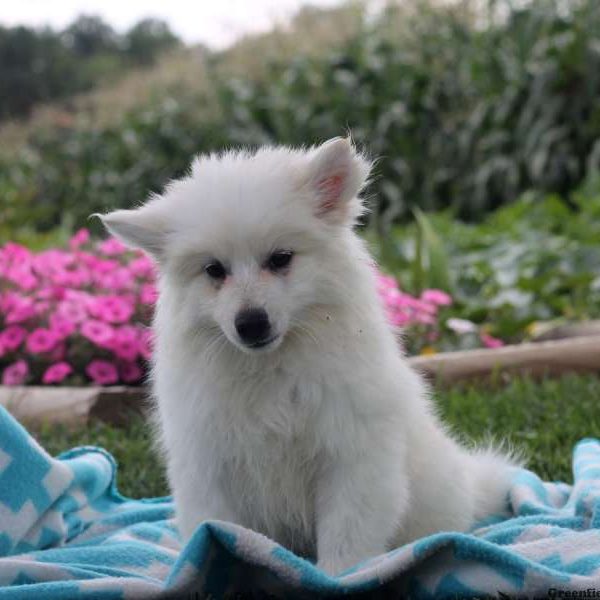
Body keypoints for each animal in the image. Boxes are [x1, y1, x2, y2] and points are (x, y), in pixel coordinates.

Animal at [99, 138, 520, 576]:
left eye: (281, 258)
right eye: (214, 270)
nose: (251, 324)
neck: (270, 368)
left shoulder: (352, 459)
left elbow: (346, 537)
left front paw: (338, 577)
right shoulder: (209, 466)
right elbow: (215, 527)